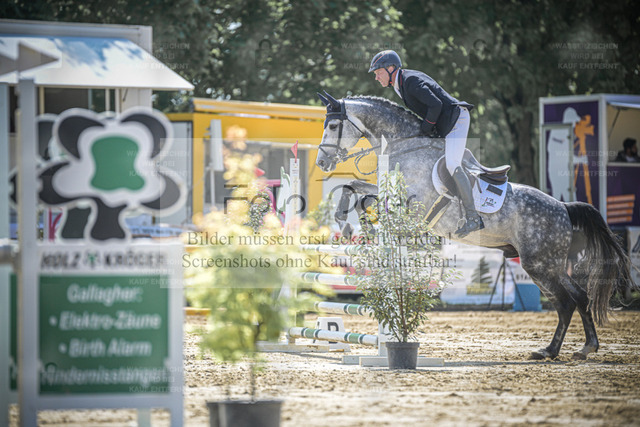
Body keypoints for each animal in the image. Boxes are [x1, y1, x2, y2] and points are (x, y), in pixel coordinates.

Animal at [315, 91, 634, 360]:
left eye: (332, 125)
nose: (321, 162)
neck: (404, 145)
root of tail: (563, 208)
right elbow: (354, 187)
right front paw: (348, 221)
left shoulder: (414, 204)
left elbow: (367, 197)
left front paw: (361, 225)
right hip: (548, 264)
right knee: (578, 297)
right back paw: (582, 348)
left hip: (539, 263)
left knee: (566, 302)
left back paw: (552, 351)